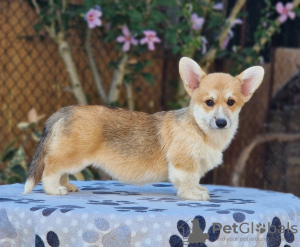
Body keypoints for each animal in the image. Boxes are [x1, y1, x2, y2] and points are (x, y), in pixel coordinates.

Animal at [23, 57, 264, 200]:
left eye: (231, 102)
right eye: (209, 102)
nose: (221, 122)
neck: (200, 129)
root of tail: (64, 111)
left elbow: (194, 180)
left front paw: (199, 189)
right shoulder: (184, 164)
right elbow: (187, 181)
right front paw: (193, 195)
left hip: (71, 156)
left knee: (62, 171)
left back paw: (68, 186)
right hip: (73, 155)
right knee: (51, 168)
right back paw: (54, 189)